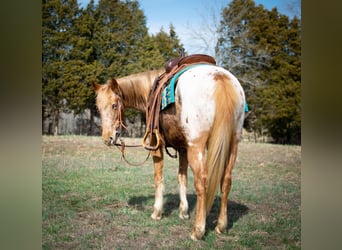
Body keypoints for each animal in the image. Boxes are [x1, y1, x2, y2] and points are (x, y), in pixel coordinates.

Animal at [91, 65, 246, 240]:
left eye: (114, 105)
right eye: (97, 107)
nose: (107, 138)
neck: (149, 90)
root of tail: (220, 79)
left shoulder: (156, 145)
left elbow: (158, 178)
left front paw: (157, 212)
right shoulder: (183, 148)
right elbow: (182, 178)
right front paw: (184, 212)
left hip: (197, 147)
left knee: (202, 182)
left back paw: (198, 231)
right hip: (233, 145)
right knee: (226, 181)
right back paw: (221, 225)